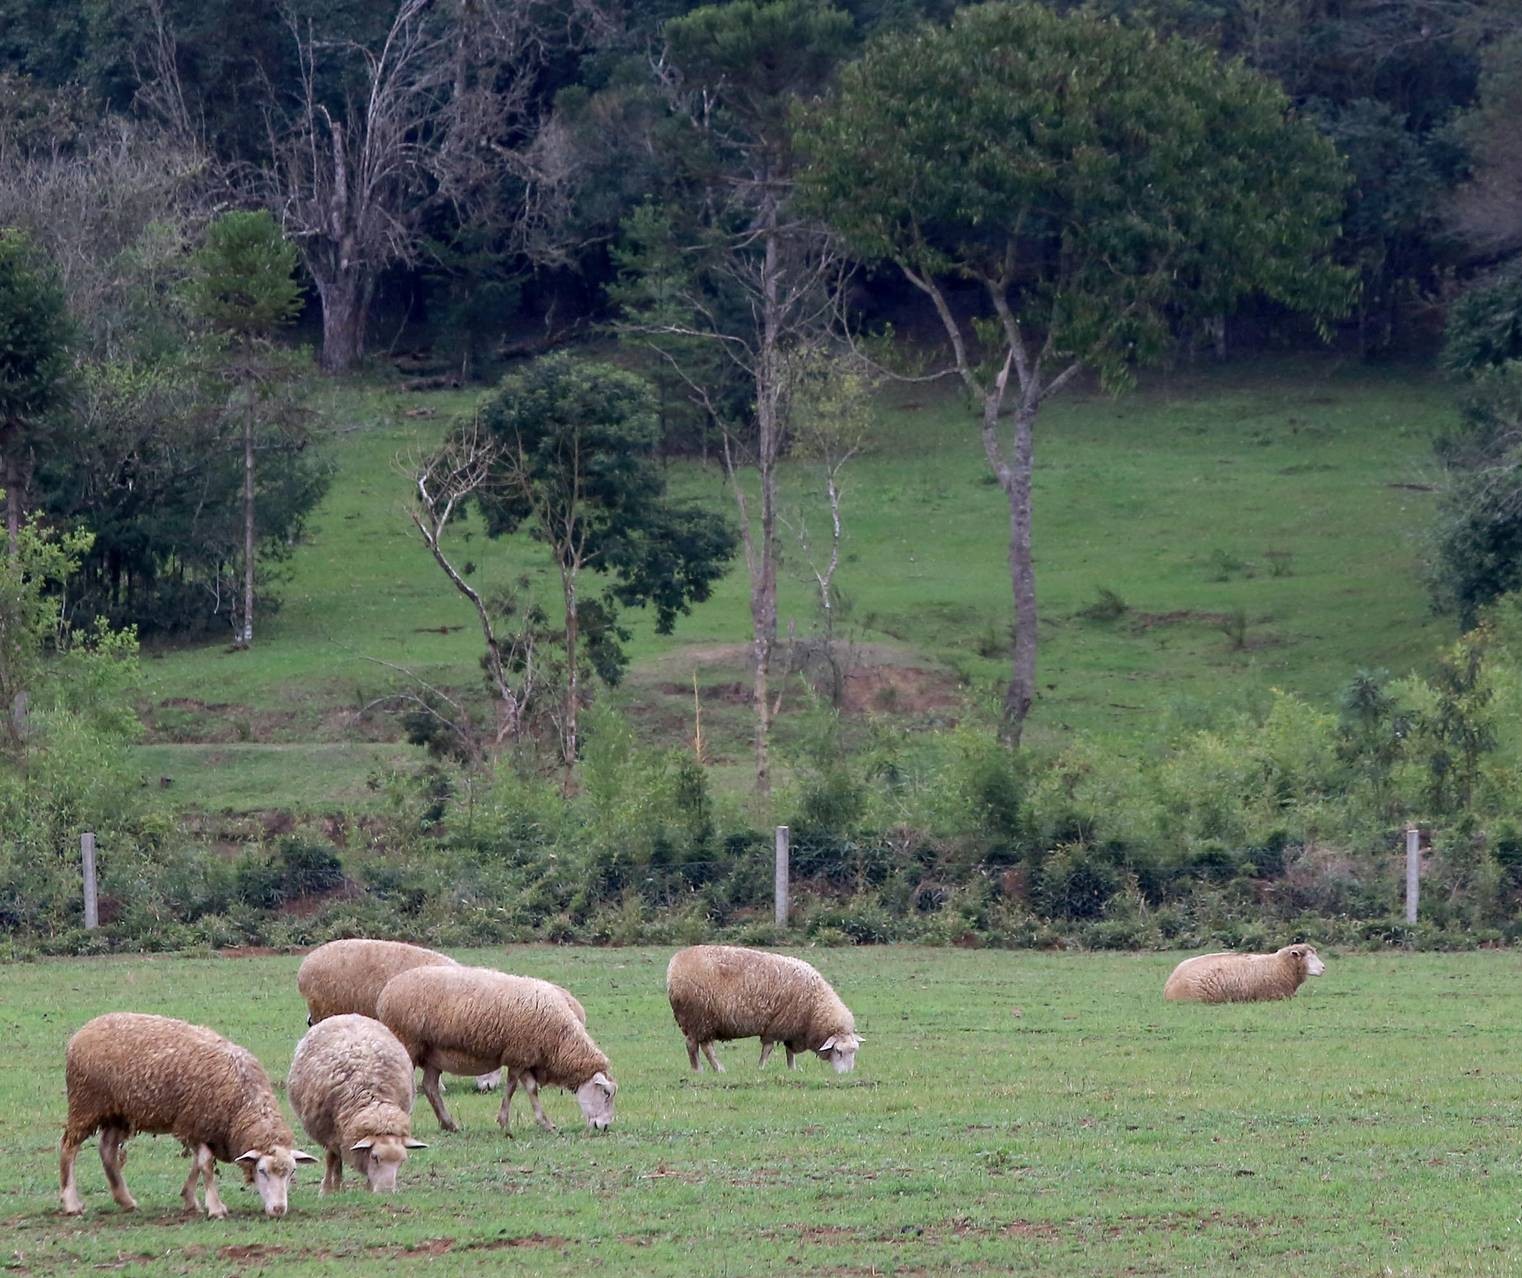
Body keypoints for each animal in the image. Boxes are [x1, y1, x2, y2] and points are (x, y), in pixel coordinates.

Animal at [60, 1016, 318, 1217]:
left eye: (292, 1172)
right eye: (262, 1171)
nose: (279, 1209)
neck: (242, 1103)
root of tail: (83, 1031)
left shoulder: (200, 1128)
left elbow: (198, 1164)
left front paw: (190, 1199)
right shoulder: (196, 1122)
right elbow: (206, 1165)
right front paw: (215, 1207)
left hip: (117, 1112)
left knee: (107, 1150)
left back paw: (126, 1200)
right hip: (86, 1103)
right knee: (69, 1147)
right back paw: (71, 1203)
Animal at [286, 1016, 426, 1192]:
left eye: (402, 1161)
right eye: (374, 1157)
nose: (386, 1192)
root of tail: (346, 1015)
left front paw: (367, 1188)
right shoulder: (329, 1132)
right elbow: (331, 1159)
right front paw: (328, 1190)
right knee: (336, 1157)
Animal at [377, 961, 614, 1131]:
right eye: (606, 1093)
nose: (604, 1127)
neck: (559, 1040)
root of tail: (386, 992)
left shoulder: (525, 1057)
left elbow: (530, 1089)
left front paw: (545, 1123)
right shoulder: (518, 1055)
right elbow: (512, 1088)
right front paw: (504, 1122)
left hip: (434, 1053)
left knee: (430, 1086)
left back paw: (449, 1124)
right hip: (408, 1041)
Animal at [669, 943, 870, 1071]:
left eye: (854, 1052)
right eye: (838, 1051)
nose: (846, 1075)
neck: (814, 1008)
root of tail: (673, 966)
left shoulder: (792, 1028)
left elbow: (790, 1052)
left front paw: (792, 1070)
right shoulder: (778, 1026)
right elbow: (768, 1049)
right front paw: (761, 1068)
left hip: (703, 1020)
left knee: (703, 1046)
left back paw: (713, 1069)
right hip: (697, 1016)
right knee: (695, 1046)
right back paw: (703, 1070)